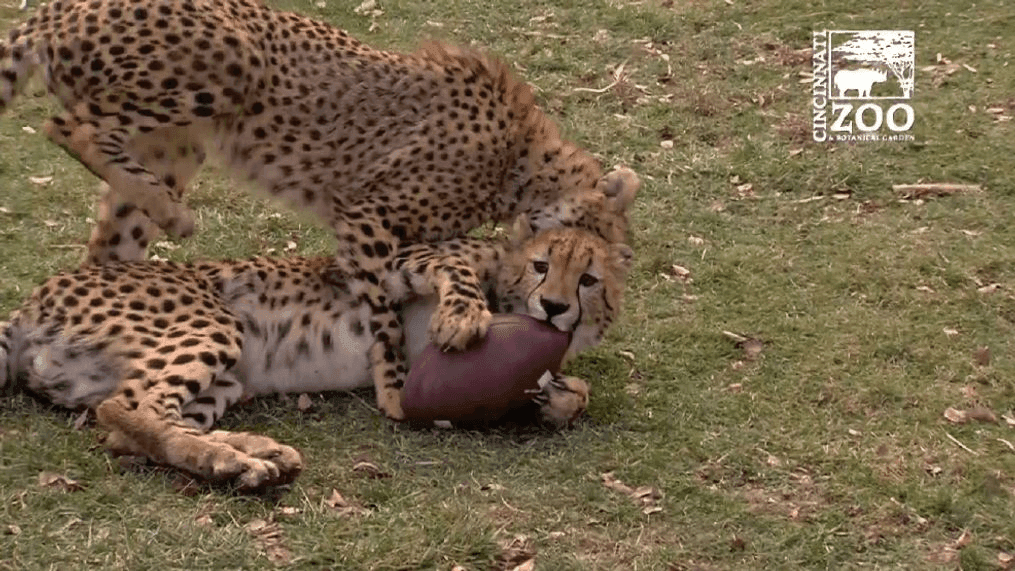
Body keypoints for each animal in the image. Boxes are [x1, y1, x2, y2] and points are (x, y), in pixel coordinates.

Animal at [0, 216, 633, 490]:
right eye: (543, 265)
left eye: (589, 280)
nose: (554, 307)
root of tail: (31, 303)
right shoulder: (394, 262)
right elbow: (447, 278)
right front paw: (460, 320)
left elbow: (574, 392)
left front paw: (558, 397)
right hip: (214, 321)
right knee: (129, 411)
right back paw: (233, 461)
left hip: (227, 377)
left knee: (131, 430)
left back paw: (252, 455)